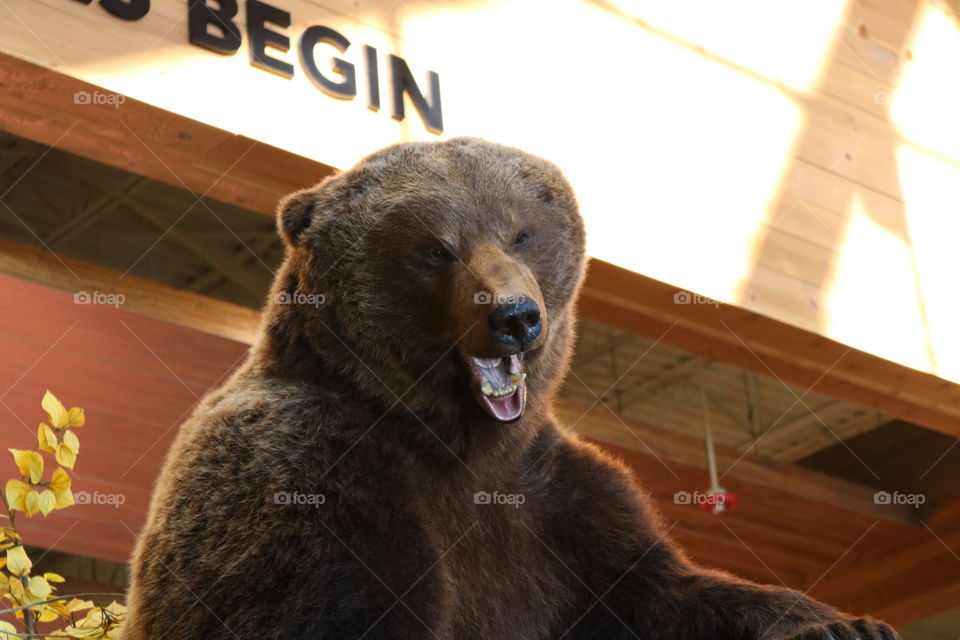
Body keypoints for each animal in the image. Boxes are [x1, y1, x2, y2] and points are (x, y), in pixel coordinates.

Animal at [123, 137, 899, 640]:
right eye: (436, 248)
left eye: (521, 232)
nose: (515, 315)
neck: (459, 443)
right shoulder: (303, 466)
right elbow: (322, 607)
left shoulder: (560, 505)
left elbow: (665, 590)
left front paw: (844, 624)